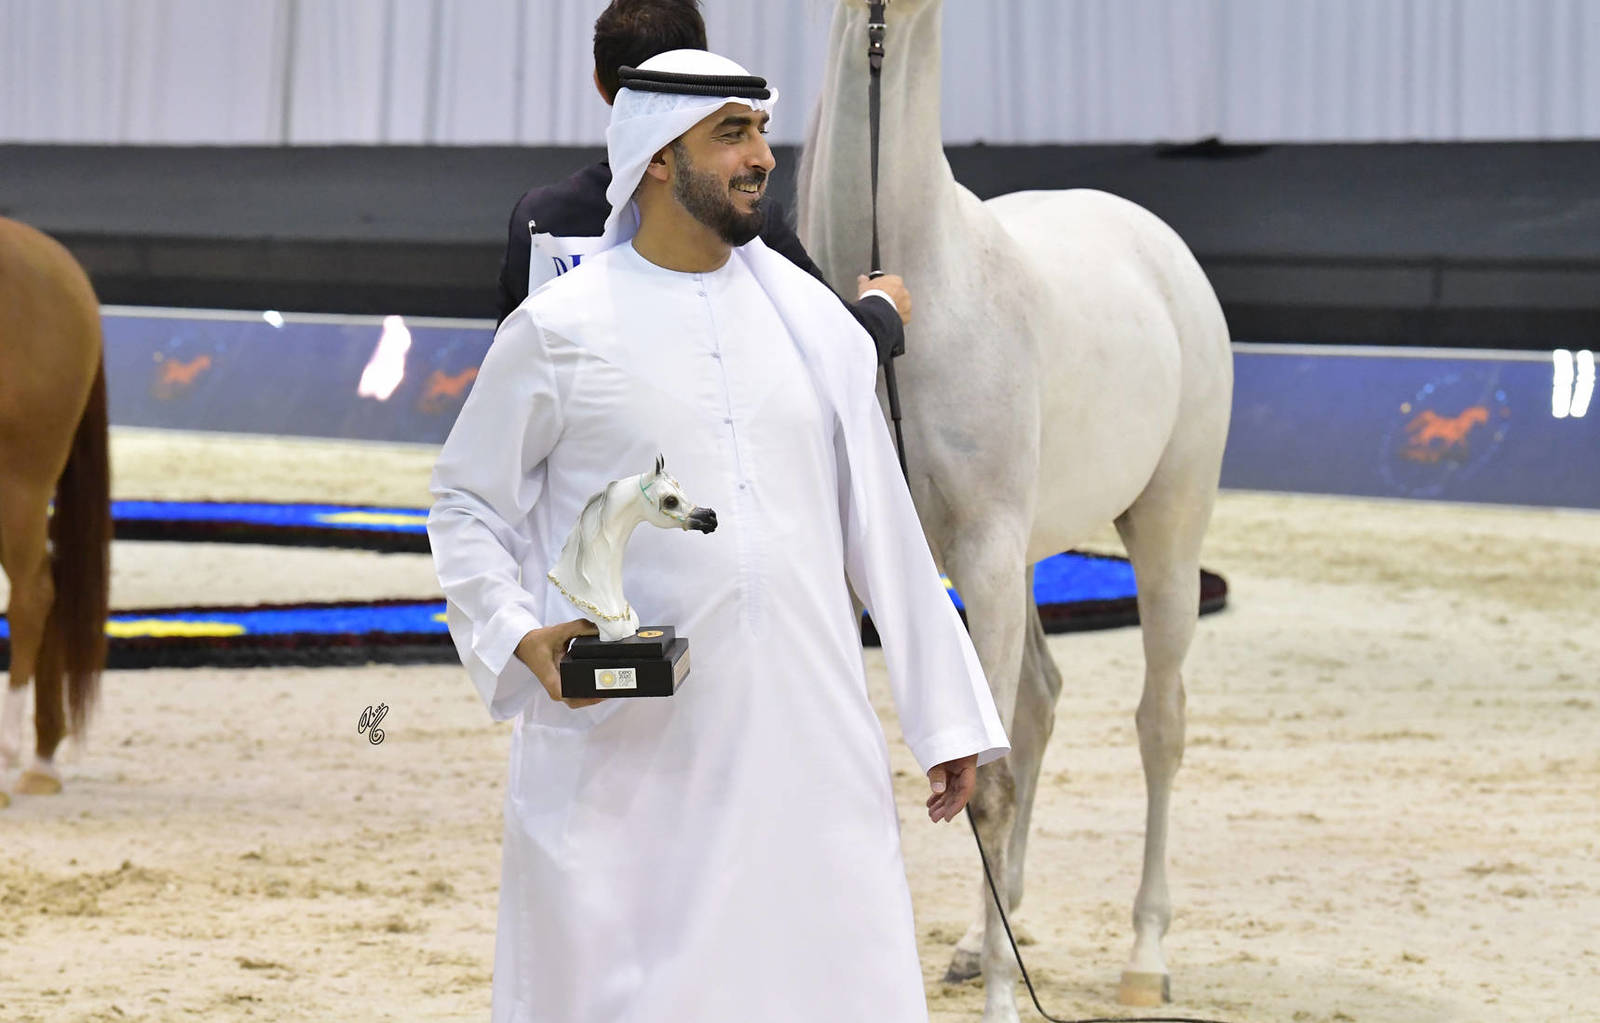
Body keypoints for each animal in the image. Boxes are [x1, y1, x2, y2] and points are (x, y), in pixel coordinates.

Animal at [798, 2, 1234, 1015]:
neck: (912, 296)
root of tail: (1157, 242)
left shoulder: (988, 554)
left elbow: (987, 788)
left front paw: (1005, 999)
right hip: (1036, 550)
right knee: (1037, 703)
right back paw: (976, 935)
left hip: (1166, 528)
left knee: (1159, 723)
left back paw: (1143, 954)